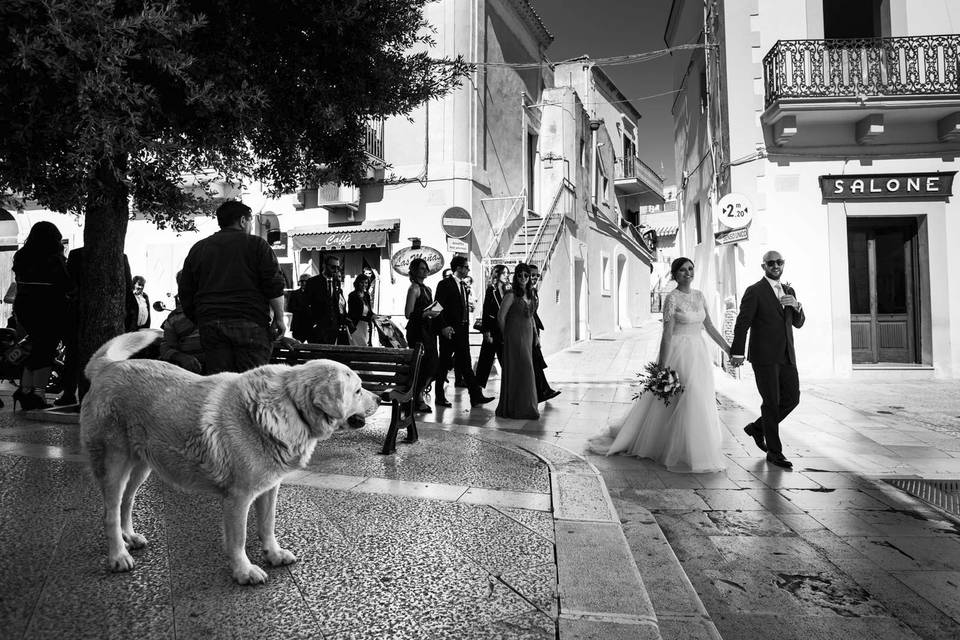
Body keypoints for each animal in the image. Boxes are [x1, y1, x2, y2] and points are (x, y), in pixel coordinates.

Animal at [79, 330, 378, 584]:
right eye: (358, 390)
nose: (380, 397)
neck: (290, 406)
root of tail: (107, 367)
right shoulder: (238, 497)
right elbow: (239, 539)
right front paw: (244, 571)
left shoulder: (269, 489)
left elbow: (267, 525)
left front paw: (273, 554)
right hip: (114, 464)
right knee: (109, 513)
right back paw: (118, 555)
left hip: (142, 466)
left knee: (126, 502)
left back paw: (129, 536)